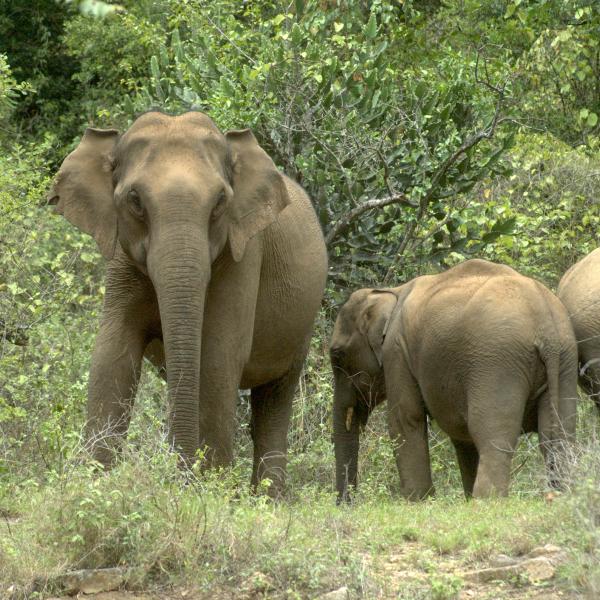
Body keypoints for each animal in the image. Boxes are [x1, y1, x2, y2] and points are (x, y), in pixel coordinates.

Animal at [47, 112, 328, 492]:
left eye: (220, 201)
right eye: (135, 200)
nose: (180, 475)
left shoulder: (243, 255)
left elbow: (218, 355)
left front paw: (208, 489)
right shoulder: (121, 259)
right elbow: (113, 352)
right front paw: (94, 485)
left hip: (303, 324)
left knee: (275, 398)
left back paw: (269, 498)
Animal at [330, 260, 580, 500]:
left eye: (337, 355)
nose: (347, 503)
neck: (392, 292)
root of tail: (546, 325)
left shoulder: (397, 351)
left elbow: (405, 420)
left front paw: (418, 501)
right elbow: (460, 435)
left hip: (497, 363)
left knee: (493, 435)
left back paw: (486, 501)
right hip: (565, 360)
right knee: (557, 437)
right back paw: (561, 495)